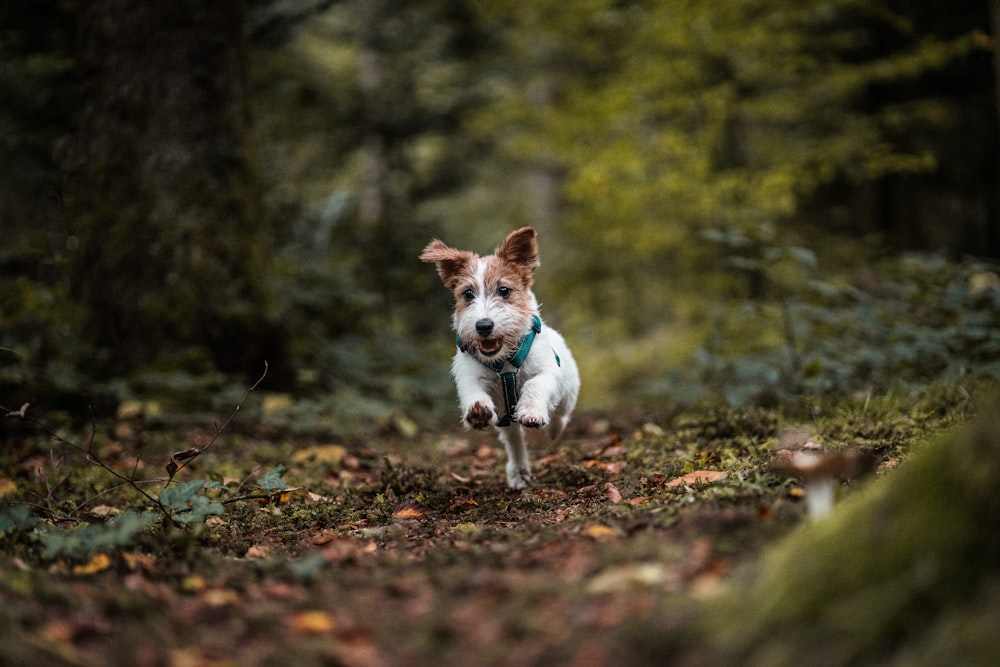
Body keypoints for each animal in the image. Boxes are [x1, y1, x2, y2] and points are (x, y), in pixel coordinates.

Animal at [420, 227, 580, 488]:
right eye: (468, 294)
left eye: (504, 290)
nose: (483, 325)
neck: (504, 361)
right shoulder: (468, 374)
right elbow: (472, 392)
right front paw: (477, 411)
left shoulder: (546, 371)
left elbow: (535, 385)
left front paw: (532, 412)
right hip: (507, 422)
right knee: (514, 441)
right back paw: (519, 472)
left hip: (568, 392)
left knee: (561, 415)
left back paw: (553, 430)